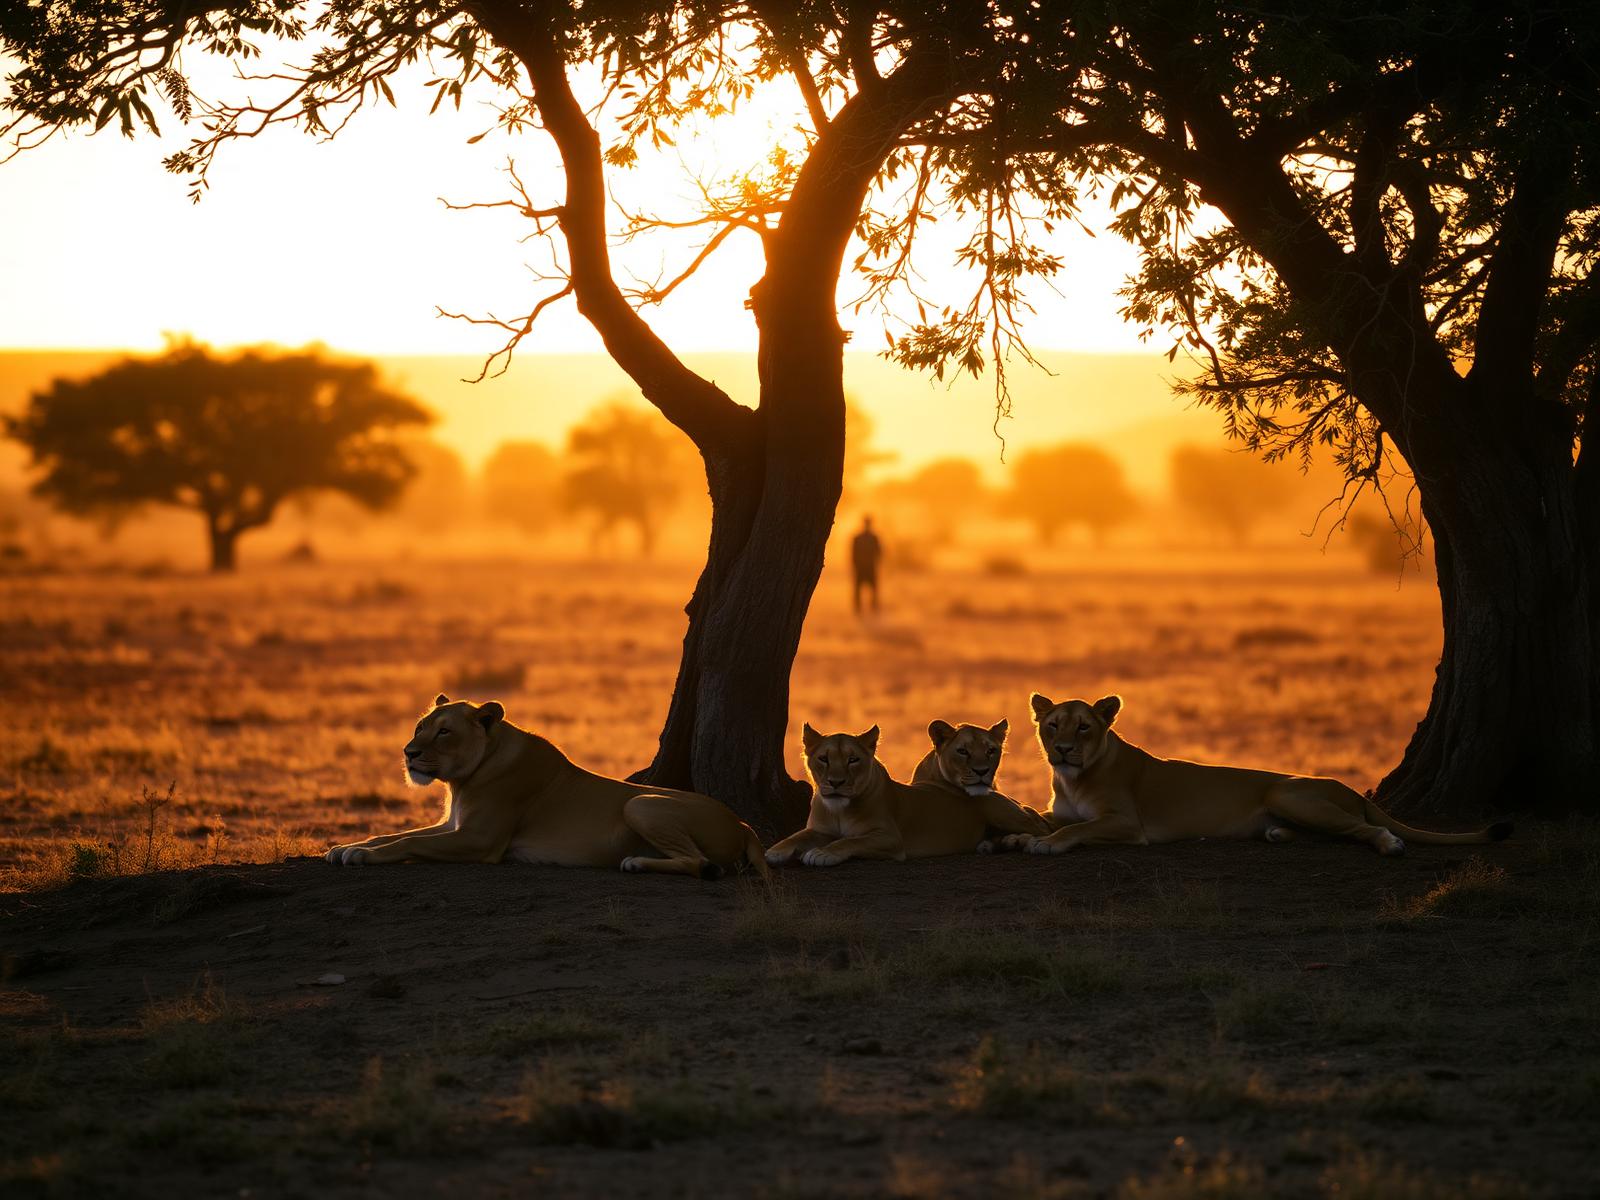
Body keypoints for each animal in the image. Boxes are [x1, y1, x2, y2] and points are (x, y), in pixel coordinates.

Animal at [325, 694, 768, 879]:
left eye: (444, 732)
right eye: (420, 726)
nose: (408, 753)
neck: (464, 779)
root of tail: (744, 824)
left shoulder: (480, 840)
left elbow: (409, 842)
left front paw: (361, 856)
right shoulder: (453, 826)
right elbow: (392, 834)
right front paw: (344, 847)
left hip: (641, 804)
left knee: (701, 863)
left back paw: (636, 863)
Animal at [765, 722, 1049, 867]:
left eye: (853, 759)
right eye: (823, 758)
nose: (836, 782)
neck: (839, 808)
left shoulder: (890, 839)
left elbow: (848, 841)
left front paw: (822, 854)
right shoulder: (819, 829)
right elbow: (797, 836)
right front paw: (775, 851)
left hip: (1004, 812)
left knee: (1040, 827)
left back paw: (1015, 840)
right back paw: (989, 844)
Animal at [1010, 692, 1513, 856]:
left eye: (1084, 727)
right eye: (1052, 725)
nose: (1062, 749)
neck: (1074, 777)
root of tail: (1351, 788)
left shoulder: (1128, 825)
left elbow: (1077, 829)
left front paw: (1043, 844)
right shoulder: (1063, 809)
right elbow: (1045, 816)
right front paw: (1020, 833)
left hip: (1287, 794)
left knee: (1363, 829)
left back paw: (1390, 844)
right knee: (1342, 831)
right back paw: (1278, 835)